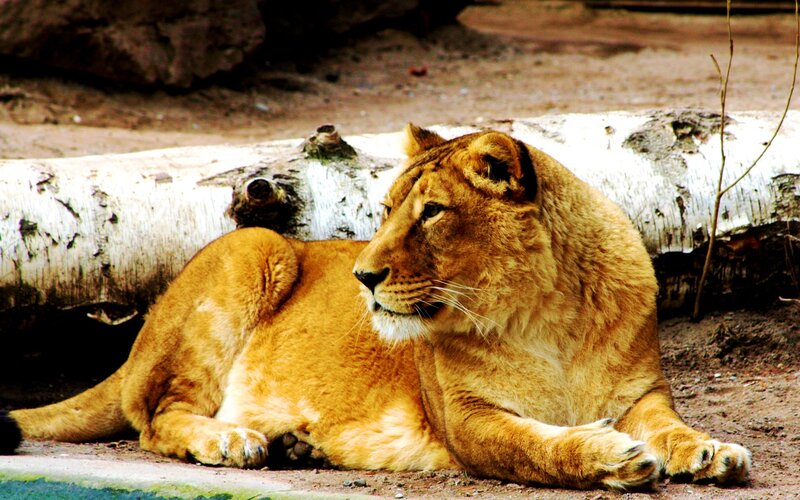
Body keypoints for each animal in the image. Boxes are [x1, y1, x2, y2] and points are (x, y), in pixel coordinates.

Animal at [0, 125, 751, 490]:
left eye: (432, 213)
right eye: (386, 209)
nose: (362, 276)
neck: (547, 317)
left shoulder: (642, 394)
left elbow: (672, 426)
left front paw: (710, 451)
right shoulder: (469, 422)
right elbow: (537, 447)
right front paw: (610, 457)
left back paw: (293, 443)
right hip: (255, 246)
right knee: (155, 418)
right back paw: (234, 439)